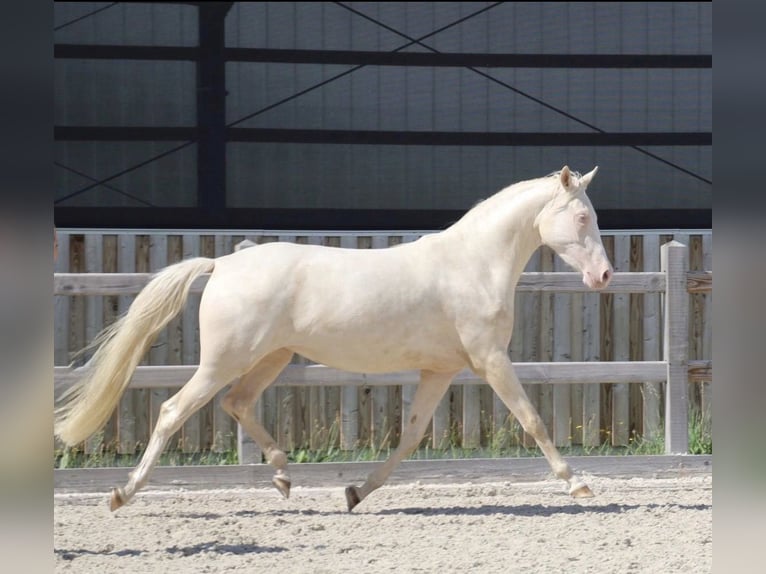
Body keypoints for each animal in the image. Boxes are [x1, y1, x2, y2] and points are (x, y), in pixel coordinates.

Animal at [54, 165, 613, 512]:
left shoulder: (441, 370)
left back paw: (283, 476)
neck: (472, 264)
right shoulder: (490, 360)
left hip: (271, 358)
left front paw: (355, 492)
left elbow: (410, 436)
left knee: (238, 403)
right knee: (174, 411)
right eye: (582, 216)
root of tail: (223, 264)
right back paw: (123, 494)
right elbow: (533, 420)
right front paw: (579, 484)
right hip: (223, 362)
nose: (604, 276)